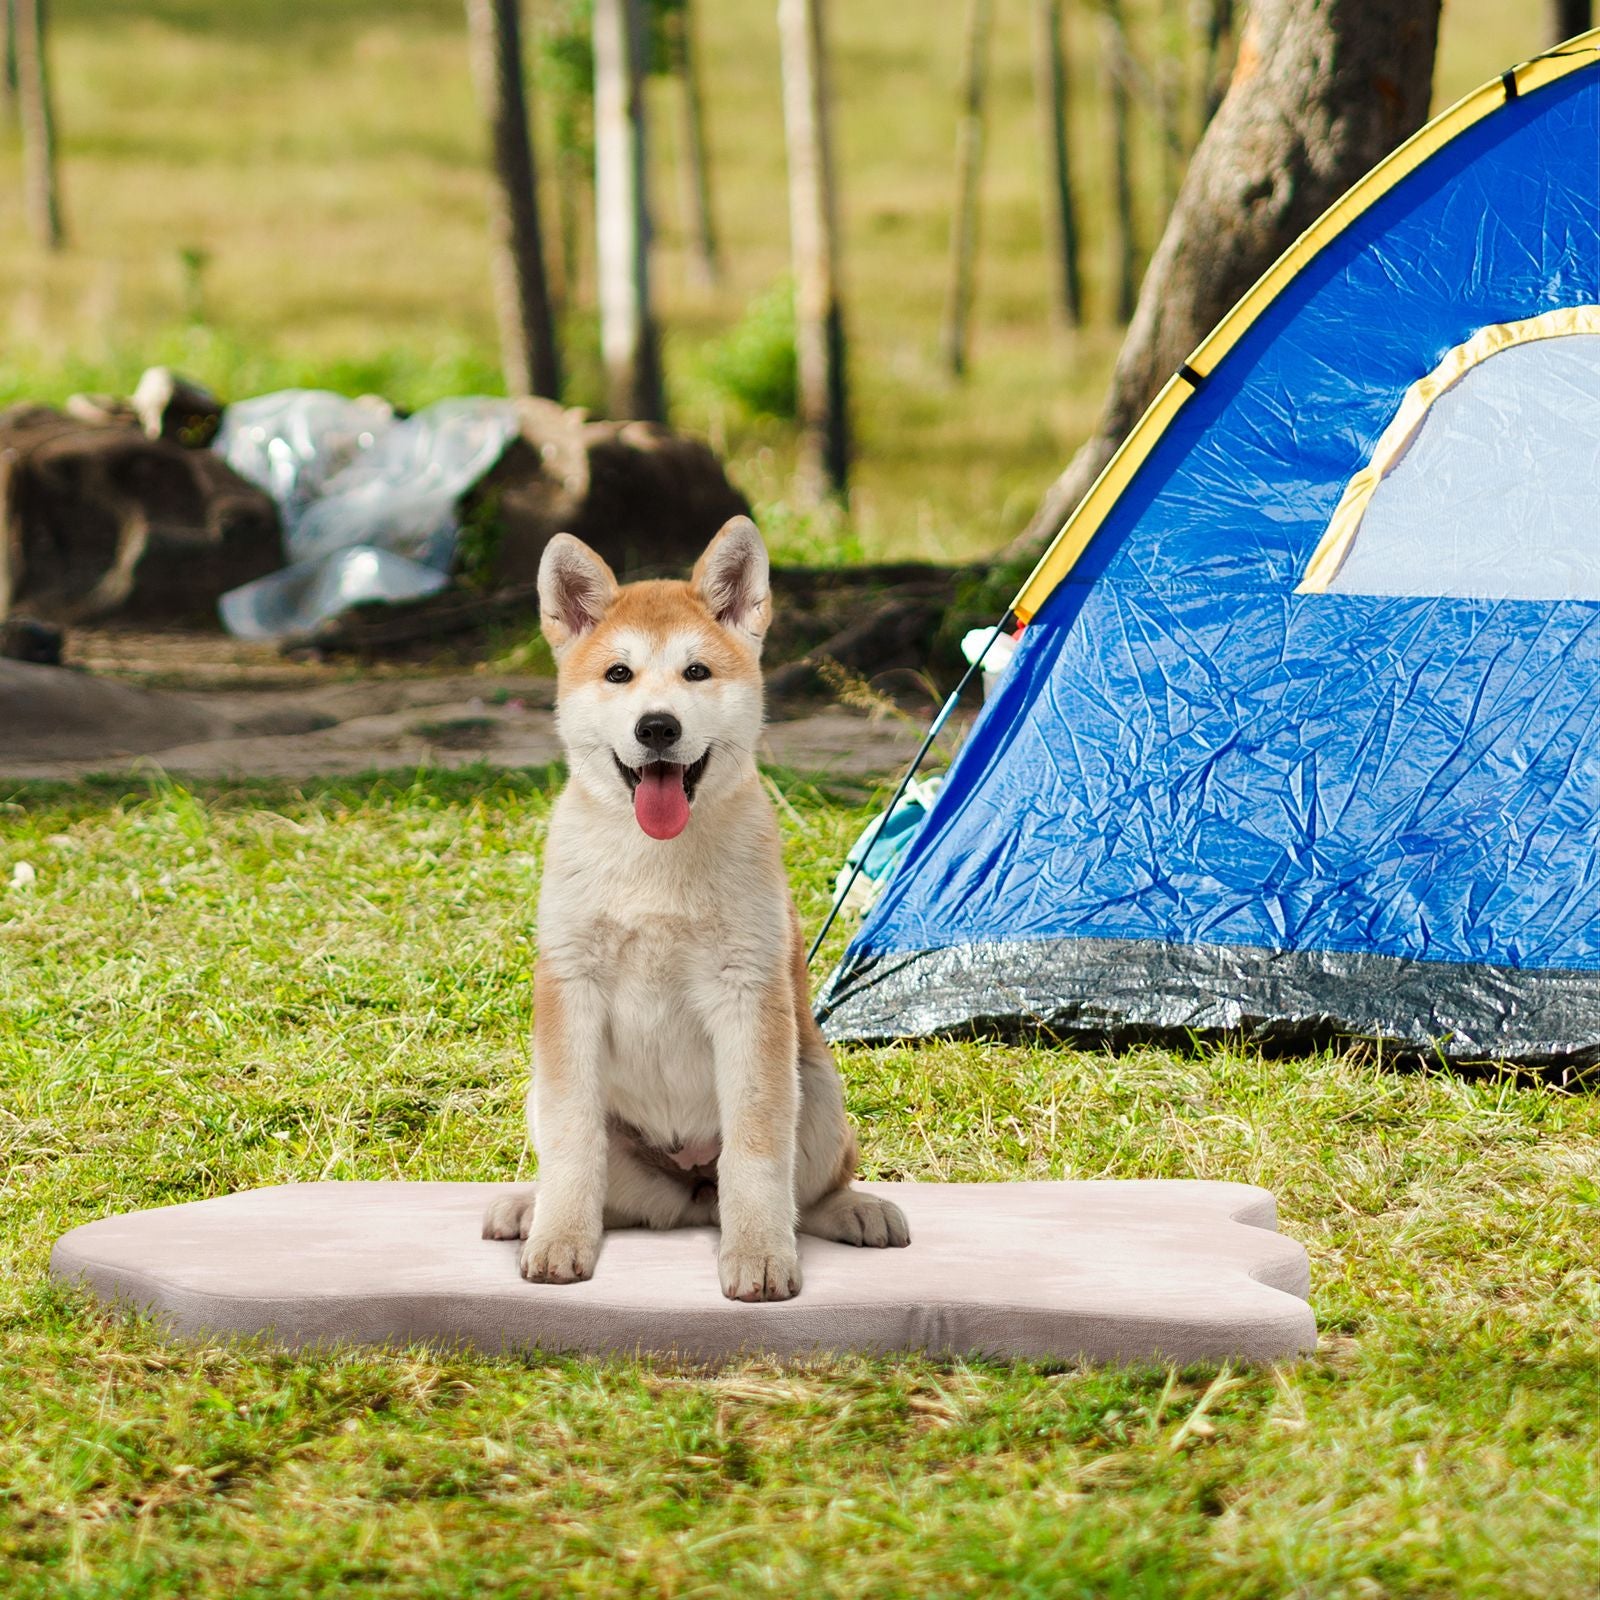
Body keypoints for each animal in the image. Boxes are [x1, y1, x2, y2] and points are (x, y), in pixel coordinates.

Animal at [483, 515, 915, 1299]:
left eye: (696, 673)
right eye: (618, 674)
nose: (656, 727)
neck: (656, 858)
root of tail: (687, 1189)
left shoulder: (747, 995)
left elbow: (756, 1149)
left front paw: (760, 1256)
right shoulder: (571, 988)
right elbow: (571, 1142)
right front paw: (558, 1238)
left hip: (815, 1086)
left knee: (807, 1192)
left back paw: (853, 1211)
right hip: (569, 1108)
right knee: (616, 1197)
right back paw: (528, 1208)